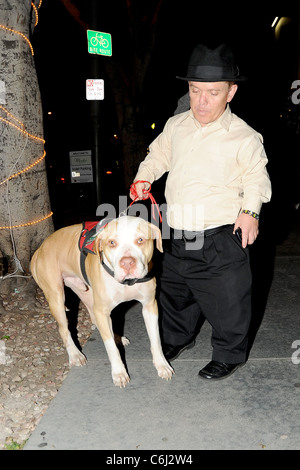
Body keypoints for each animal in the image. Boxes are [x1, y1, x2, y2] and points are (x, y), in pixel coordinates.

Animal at [30, 216, 173, 386]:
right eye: (112, 242)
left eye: (140, 240)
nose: (127, 262)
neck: (126, 283)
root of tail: (39, 250)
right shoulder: (102, 311)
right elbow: (110, 347)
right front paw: (119, 372)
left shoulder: (149, 306)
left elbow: (156, 339)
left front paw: (162, 365)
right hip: (57, 297)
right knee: (64, 329)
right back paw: (75, 355)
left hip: (86, 293)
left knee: (96, 320)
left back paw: (118, 337)